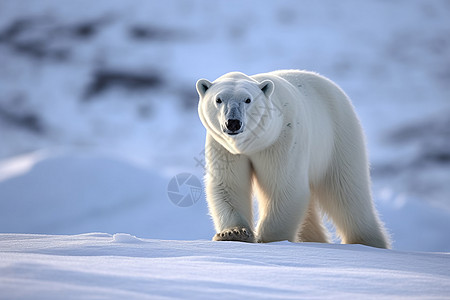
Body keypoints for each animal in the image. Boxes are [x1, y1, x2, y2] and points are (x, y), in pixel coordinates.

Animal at [197, 69, 390, 248]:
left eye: (248, 100)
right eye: (218, 100)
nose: (233, 122)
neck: (253, 144)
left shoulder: (282, 140)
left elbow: (284, 186)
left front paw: (268, 239)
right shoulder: (224, 148)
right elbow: (229, 185)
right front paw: (233, 233)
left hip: (338, 137)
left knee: (347, 193)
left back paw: (367, 242)